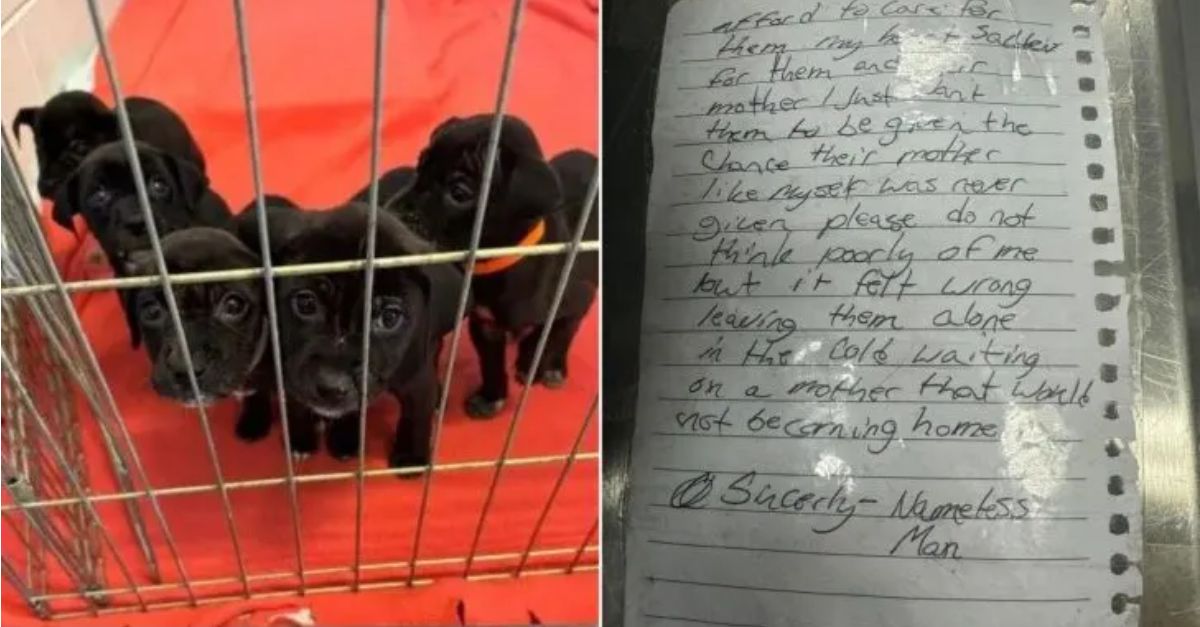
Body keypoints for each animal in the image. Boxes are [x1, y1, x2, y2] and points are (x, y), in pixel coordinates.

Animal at [266, 202, 463, 466]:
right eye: (306, 304)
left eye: (389, 318)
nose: (331, 386)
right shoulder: (288, 367)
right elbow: (295, 404)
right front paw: (301, 440)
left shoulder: (416, 376)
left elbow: (417, 415)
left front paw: (411, 457)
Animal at [398, 113, 595, 415]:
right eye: (420, 167)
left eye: (459, 193)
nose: (393, 212)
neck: (499, 259)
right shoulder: (485, 324)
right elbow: (490, 363)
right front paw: (492, 396)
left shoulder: (575, 295)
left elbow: (558, 329)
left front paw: (537, 361)